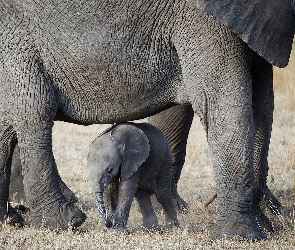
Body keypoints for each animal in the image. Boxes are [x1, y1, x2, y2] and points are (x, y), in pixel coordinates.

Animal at [0, 0, 294, 240]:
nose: (107, 224)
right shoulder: (204, 21)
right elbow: (222, 102)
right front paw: (240, 237)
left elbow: (261, 108)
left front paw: (262, 227)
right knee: (33, 111)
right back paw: (65, 222)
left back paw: (13, 220)